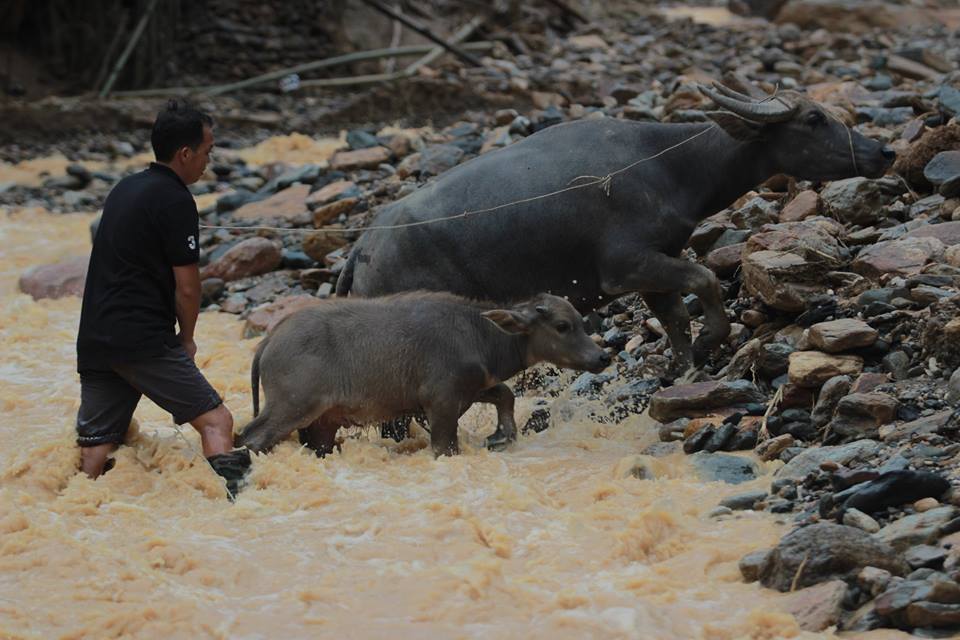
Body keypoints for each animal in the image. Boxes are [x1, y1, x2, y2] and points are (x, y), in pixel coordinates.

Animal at [336, 86, 892, 376]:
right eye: (814, 118)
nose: (883, 151)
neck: (667, 165)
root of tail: (361, 248)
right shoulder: (626, 268)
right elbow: (704, 280)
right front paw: (714, 338)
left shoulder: (654, 270)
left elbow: (675, 318)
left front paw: (685, 365)